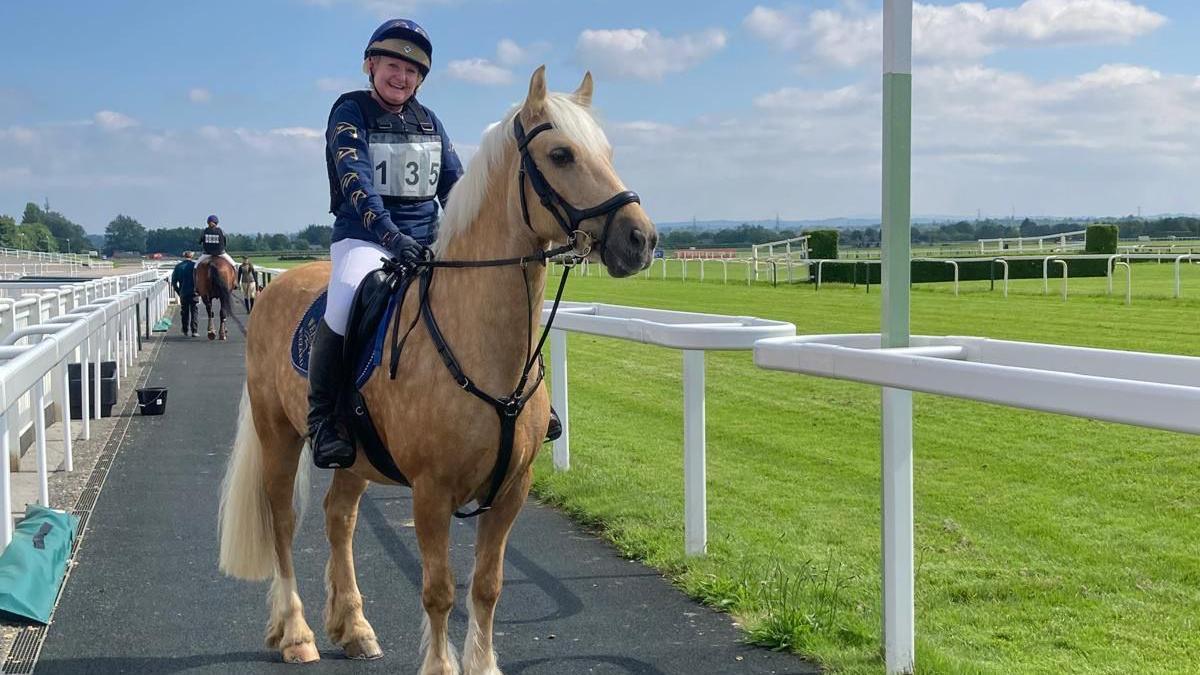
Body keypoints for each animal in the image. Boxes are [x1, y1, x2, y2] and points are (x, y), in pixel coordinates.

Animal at [220, 65, 662, 667]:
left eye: (608, 151)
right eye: (562, 154)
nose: (641, 239)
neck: (480, 343)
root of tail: (274, 290)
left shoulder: (511, 492)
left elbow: (487, 587)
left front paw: (483, 664)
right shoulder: (431, 494)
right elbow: (439, 590)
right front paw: (441, 665)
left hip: (357, 459)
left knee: (340, 517)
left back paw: (353, 628)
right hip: (278, 434)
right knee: (284, 523)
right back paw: (297, 634)